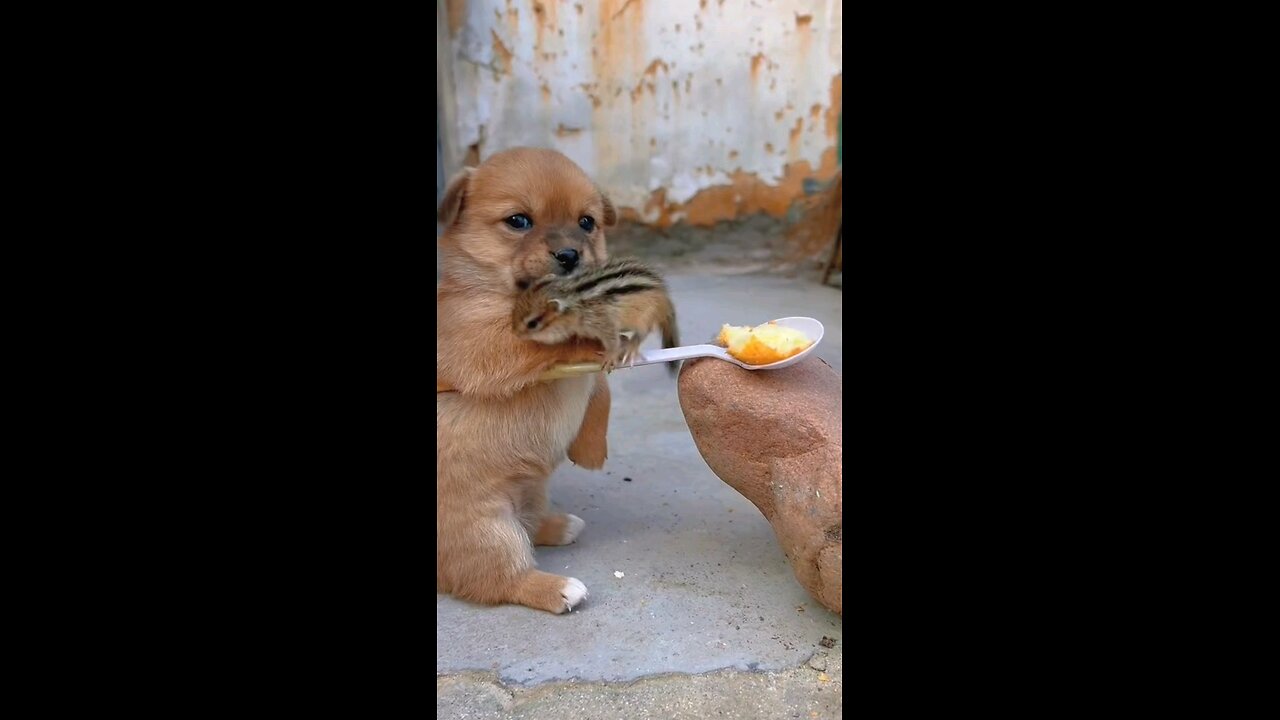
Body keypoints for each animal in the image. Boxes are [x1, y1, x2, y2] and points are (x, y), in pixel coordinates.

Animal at [440, 146, 619, 609]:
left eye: (587, 222)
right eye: (519, 221)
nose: (570, 255)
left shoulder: (587, 378)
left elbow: (602, 390)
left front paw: (591, 449)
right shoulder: (484, 345)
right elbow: (553, 341)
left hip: (532, 490)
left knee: (530, 523)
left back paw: (559, 526)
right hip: (487, 530)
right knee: (499, 577)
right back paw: (557, 588)